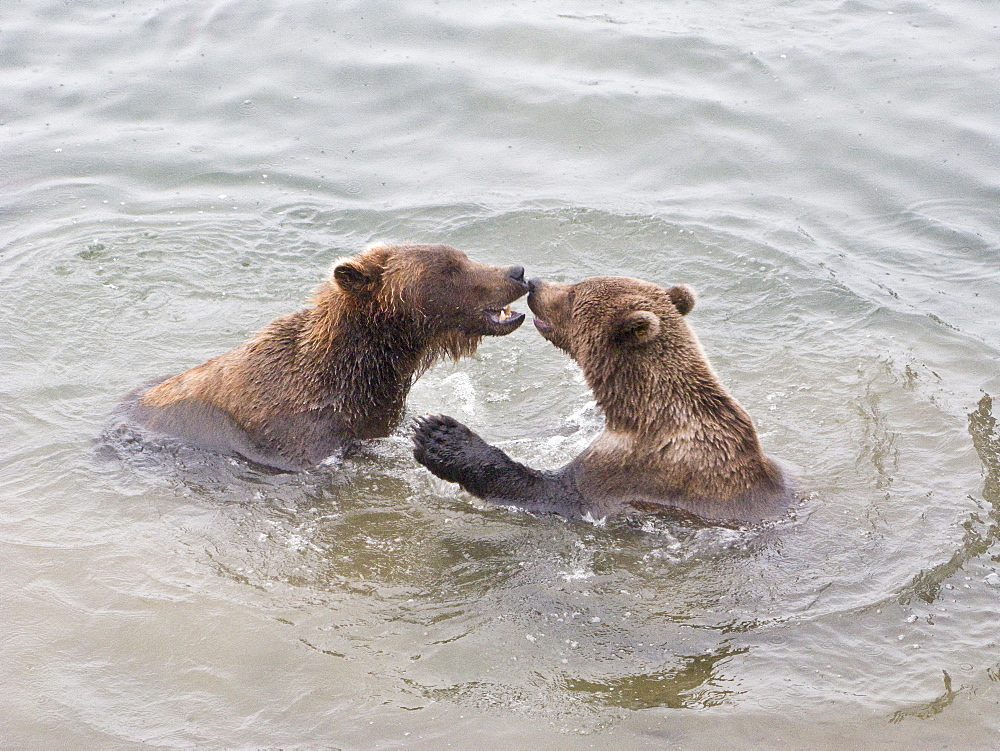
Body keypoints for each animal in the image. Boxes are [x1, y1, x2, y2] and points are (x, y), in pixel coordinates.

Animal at [410, 274, 792, 524]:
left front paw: (439, 433)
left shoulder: (637, 467)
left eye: (573, 294)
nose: (535, 283)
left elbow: (552, 492)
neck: (640, 411)